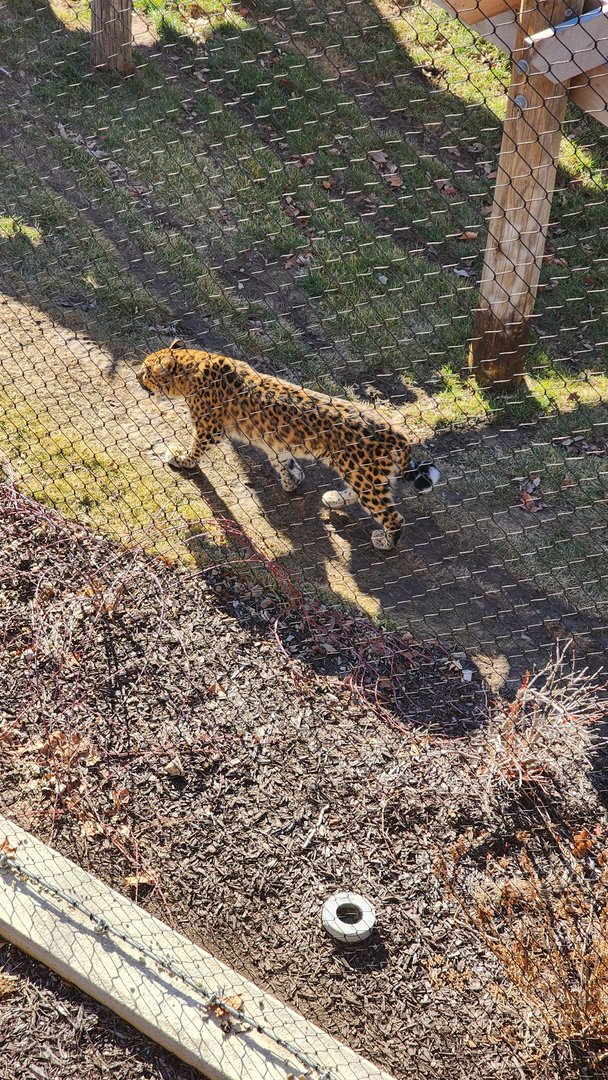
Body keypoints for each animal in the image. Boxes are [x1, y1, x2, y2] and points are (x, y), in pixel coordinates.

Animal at [136, 341, 440, 551]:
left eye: (147, 370)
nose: (137, 376)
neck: (192, 366)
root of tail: (399, 436)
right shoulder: (275, 442)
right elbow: (281, 460)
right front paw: (292, 480)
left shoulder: (209, 427)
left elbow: (197, 447)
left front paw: (182, 459)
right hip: (362, 475)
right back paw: (334, 499)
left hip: (363, 476)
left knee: (393, 517)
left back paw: (385, 541)